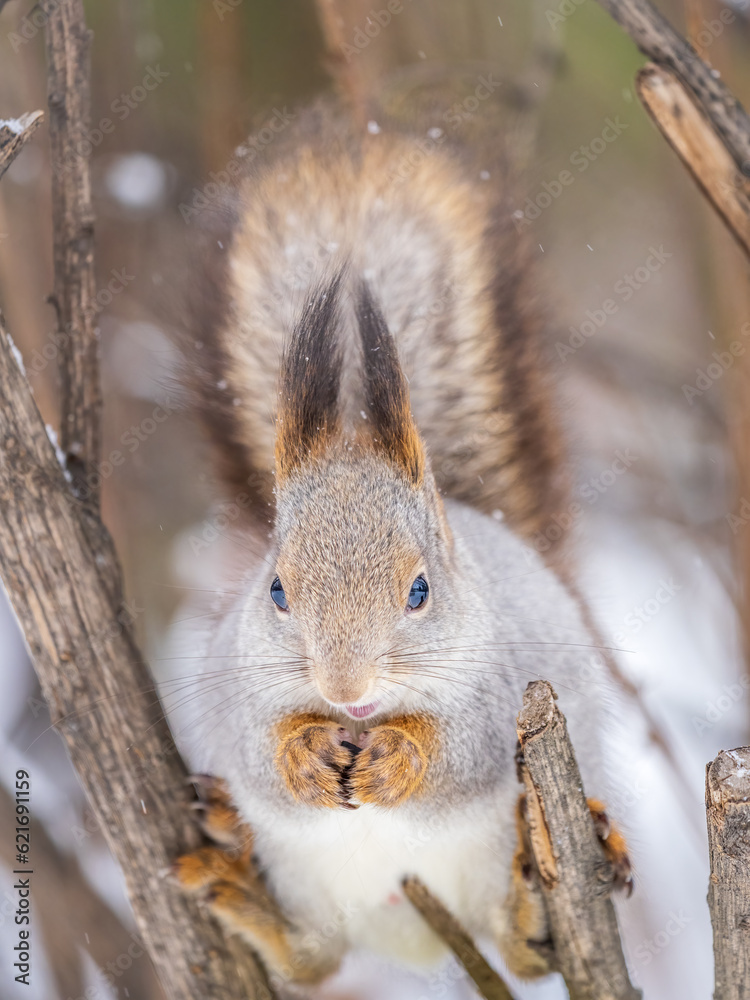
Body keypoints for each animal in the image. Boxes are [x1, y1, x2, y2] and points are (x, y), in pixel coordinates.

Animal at [168, 99, 632, 990]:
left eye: (420, 591)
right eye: (276, 590)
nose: (345, 690)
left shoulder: (504, 685)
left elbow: (464, 753)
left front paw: (403, 758)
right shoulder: (236, 683)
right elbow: (257, 746)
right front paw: (303, 754)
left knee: (521, 955)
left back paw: (535, 896)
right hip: (303, 877)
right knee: (313, 960)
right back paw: (235, 880)